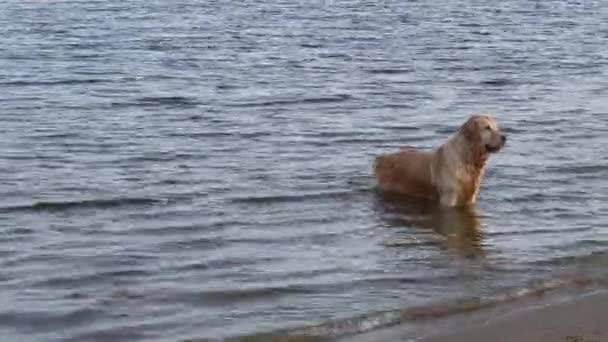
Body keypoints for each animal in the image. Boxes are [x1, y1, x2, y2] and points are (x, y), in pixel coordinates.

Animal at [372, 114, 506, 206]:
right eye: (487, 128)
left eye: (496, 127)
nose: (505, 137)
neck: (468, 157)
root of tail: (381, 159)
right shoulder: (448, 197)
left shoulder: (470, 197)